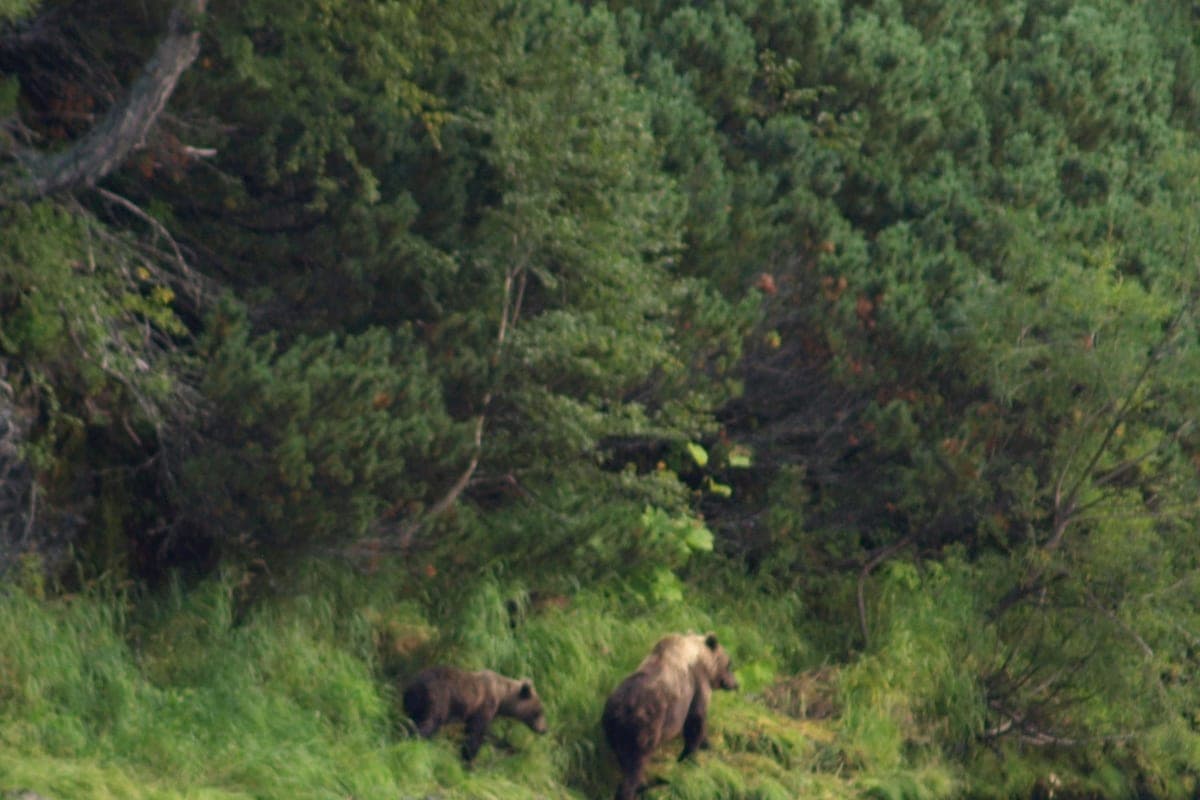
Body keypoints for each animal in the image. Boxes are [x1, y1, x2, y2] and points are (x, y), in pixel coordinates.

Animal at [402, 666, 548, 762]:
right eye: (539, 711)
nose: (544, 729)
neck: (502, 697)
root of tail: (415, 684)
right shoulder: (485, 706)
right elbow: (476, 733)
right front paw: (469, 760)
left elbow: (483, 734)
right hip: (439, 698)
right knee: (429, 722)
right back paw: (418, 741)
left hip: (413, 702)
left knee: (412, 719)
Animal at [601, 632, 739, 800]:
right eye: (729, 664)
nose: (735, 684)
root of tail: (620, 709)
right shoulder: (697, 684)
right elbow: (696, 720)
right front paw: (690, 757)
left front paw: (706, 746)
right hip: (645, 723)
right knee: (637, 760)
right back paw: (635, 789)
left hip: (614, 731)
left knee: (624, 759)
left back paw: (643, 784)